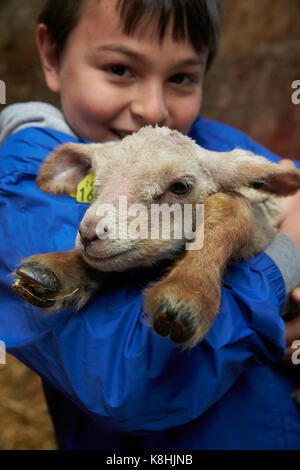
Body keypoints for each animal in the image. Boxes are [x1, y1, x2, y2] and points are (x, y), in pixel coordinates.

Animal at [10, 125, 300, 348]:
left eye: (180, 187)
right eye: (95, 185)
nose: (89, 234)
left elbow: (230, 206)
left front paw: (189, 289)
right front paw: (60, 267)